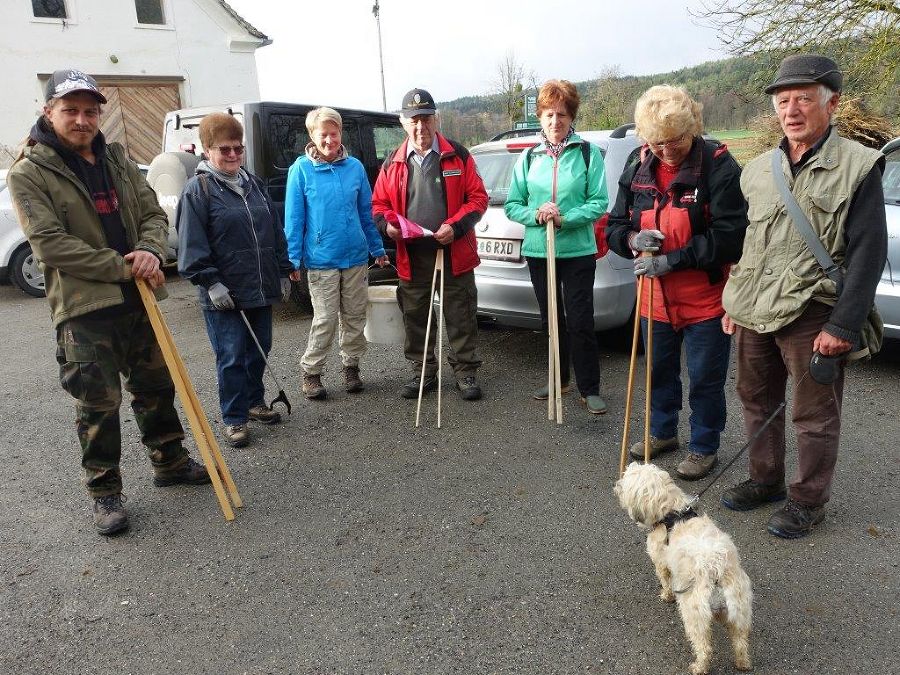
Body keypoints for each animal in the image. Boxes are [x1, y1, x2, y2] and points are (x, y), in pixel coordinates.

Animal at [616, 462, 756, 672]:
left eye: (626, 481)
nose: (616, 486)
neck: (672, 512)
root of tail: (715, 571)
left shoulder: (661, 562)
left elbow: (665, 580)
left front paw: (666, 596)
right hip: (740, 611)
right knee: (740, 642)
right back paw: (742, 663)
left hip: (694, 614)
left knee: (704, 648)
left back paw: (699, 667)